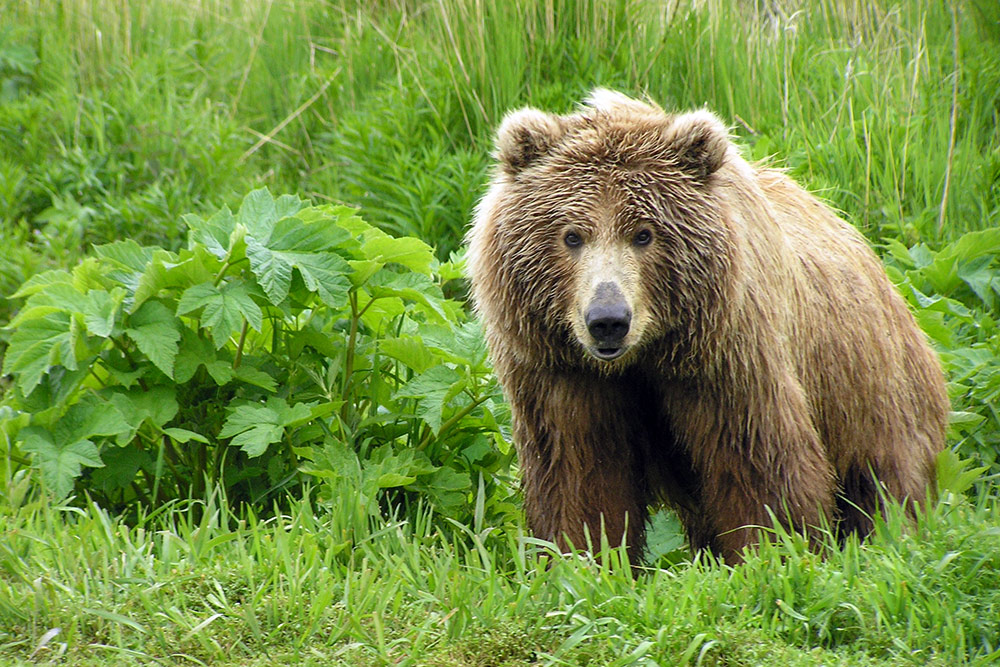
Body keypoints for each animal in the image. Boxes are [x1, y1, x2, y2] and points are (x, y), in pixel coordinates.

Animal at [464, 90, 948, 564]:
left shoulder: (727, 359)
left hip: (873, 391)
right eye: (571, 235)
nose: (608, 321)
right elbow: (580, 470)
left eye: (644, 234)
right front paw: (582, 555)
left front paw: (770, 549)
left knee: (885, 484)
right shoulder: (564, 371)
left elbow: (755, 461)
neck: (649, 353)